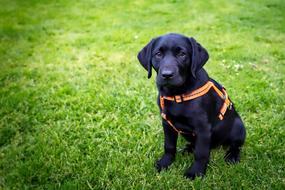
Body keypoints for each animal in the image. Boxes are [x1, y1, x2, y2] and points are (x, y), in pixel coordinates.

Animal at [136, 33, 245, 180]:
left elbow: (201, 153)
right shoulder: (167, 123)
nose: (167, 75)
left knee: (236, 145)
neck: (177, 94)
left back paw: (232, 156)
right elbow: (169, 146)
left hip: (238, 127)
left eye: (182, 54)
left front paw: (196, 172)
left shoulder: (203, 128)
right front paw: (165, 163)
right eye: (158, 54)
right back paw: (188, 149)